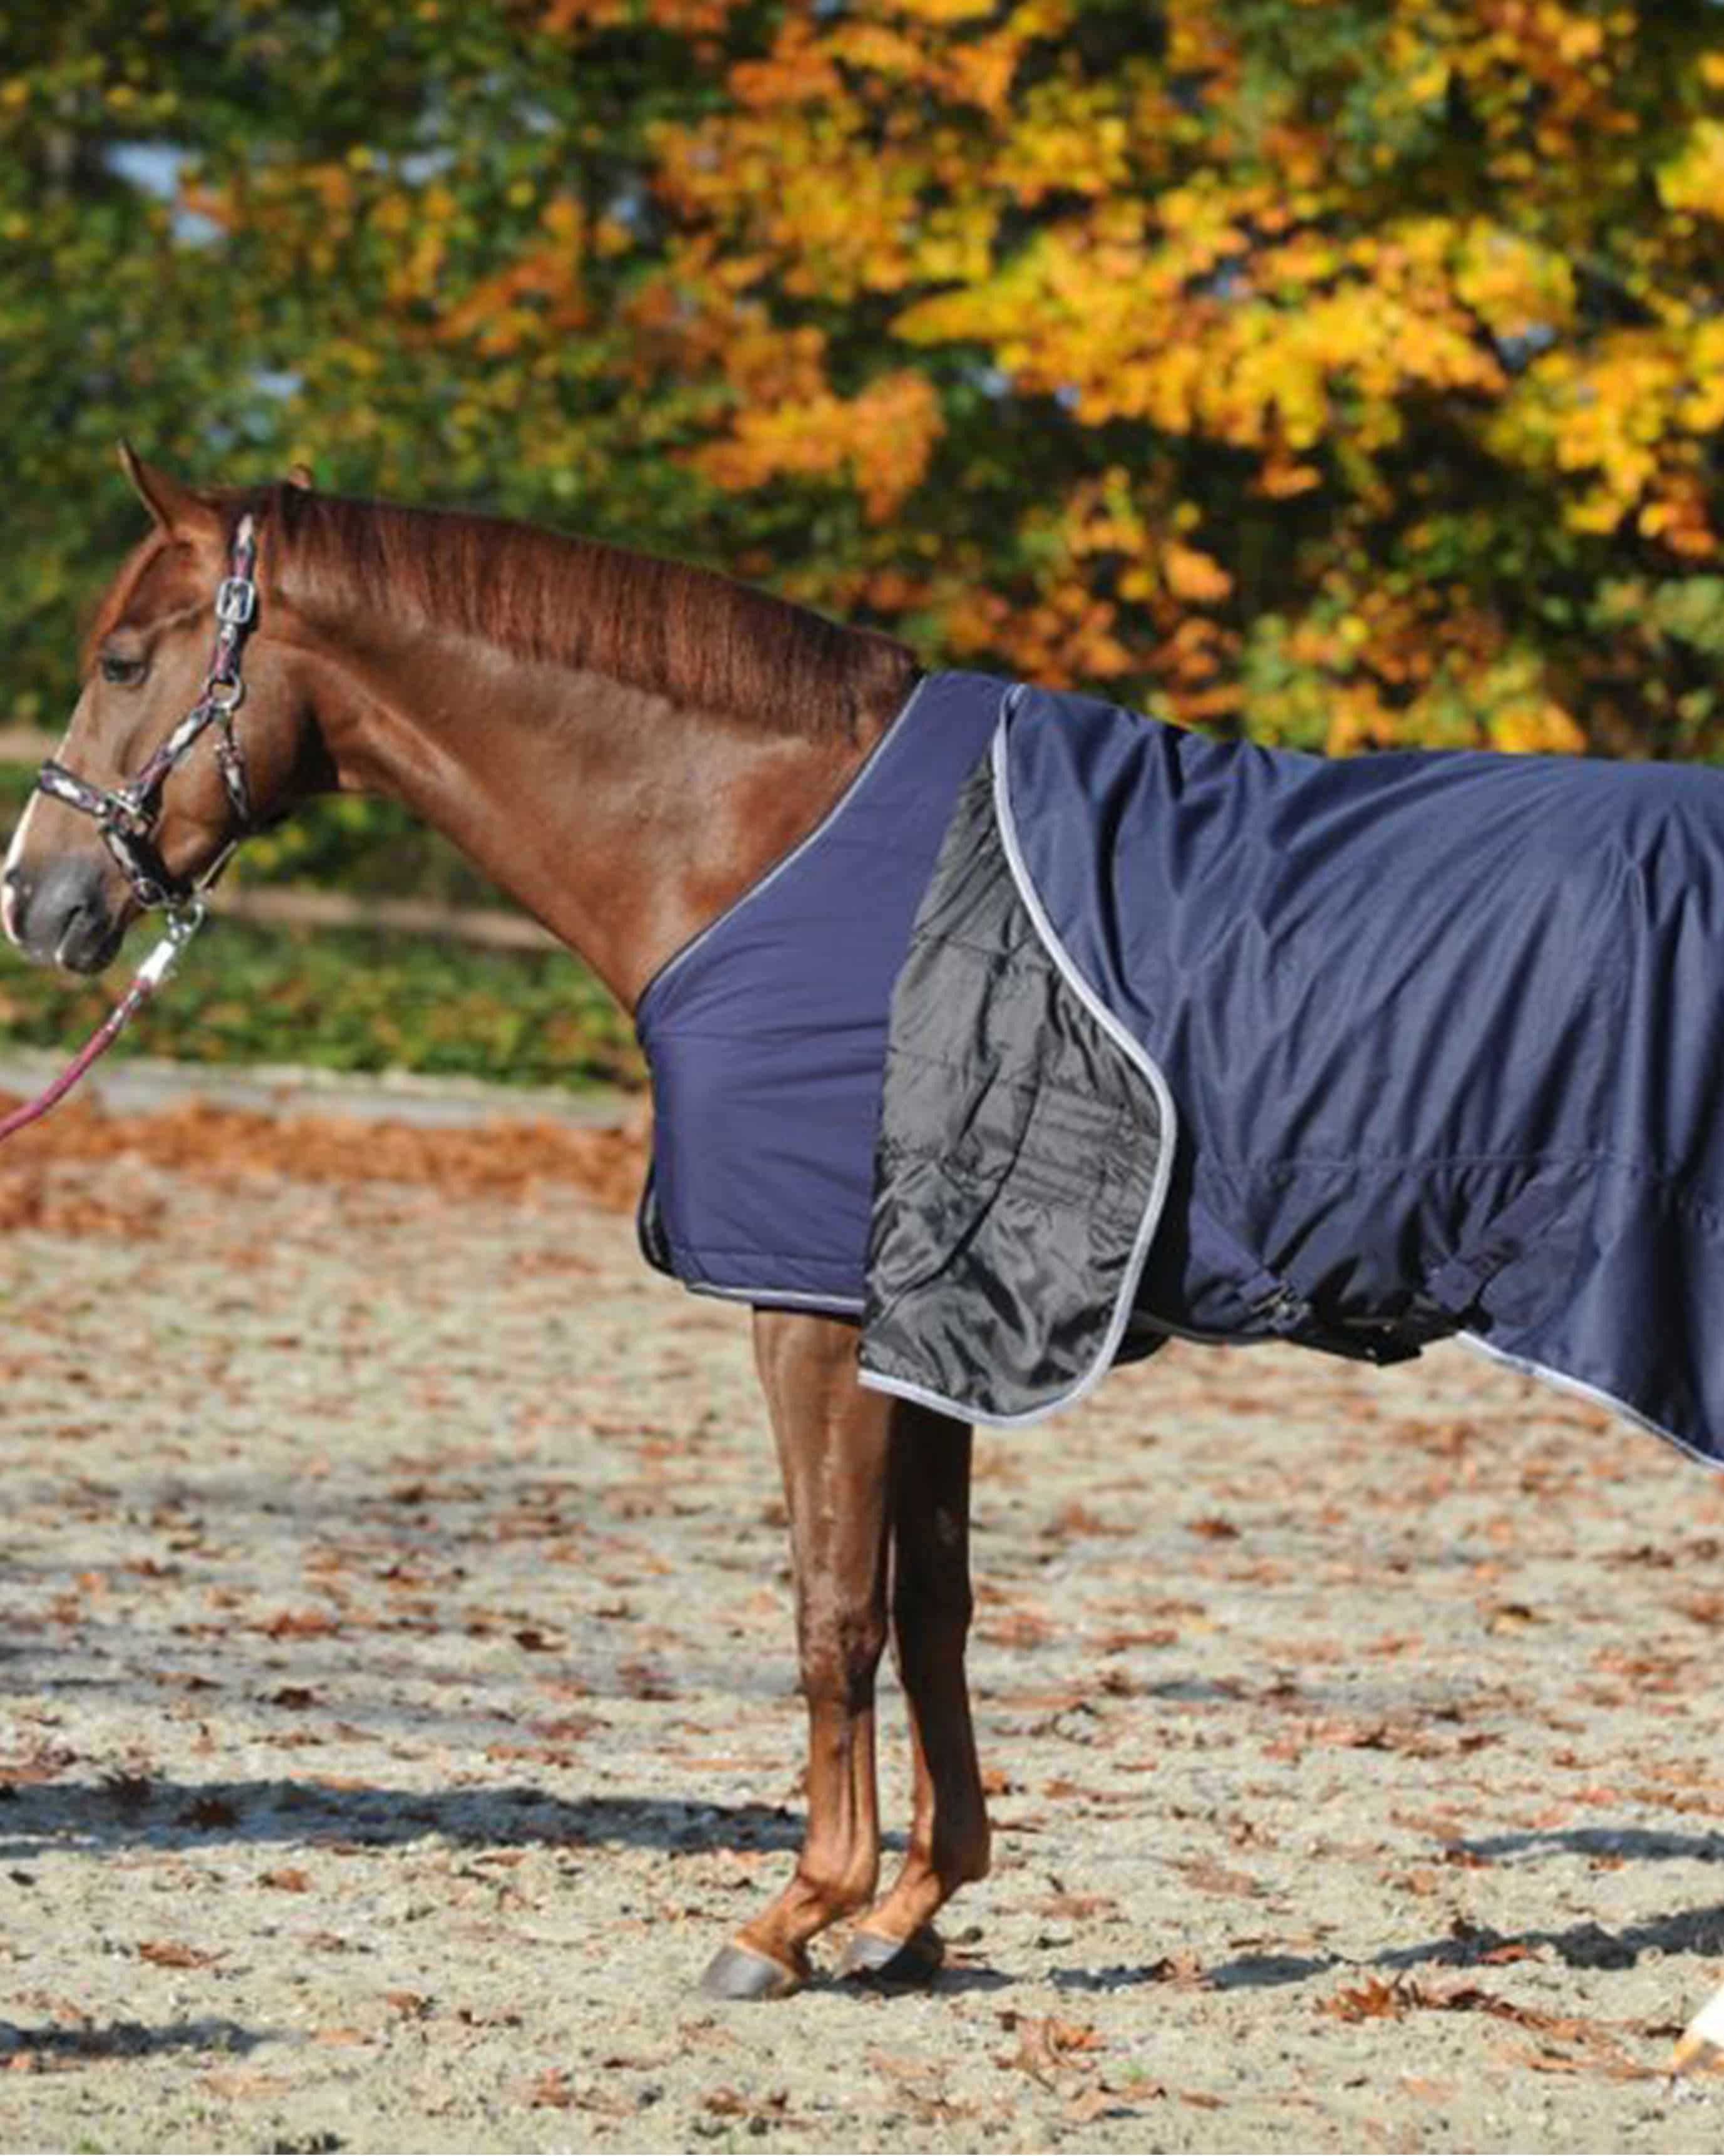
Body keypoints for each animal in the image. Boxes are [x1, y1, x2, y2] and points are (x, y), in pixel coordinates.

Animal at [2, 447, 986, 2000]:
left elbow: (836, 1607)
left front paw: (791, 1914)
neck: (772, 844)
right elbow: (931, 1609)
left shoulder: (817, 1316)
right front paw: (908, 1910)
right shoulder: (924, 1334)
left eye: (120, 660)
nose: (32, 895)